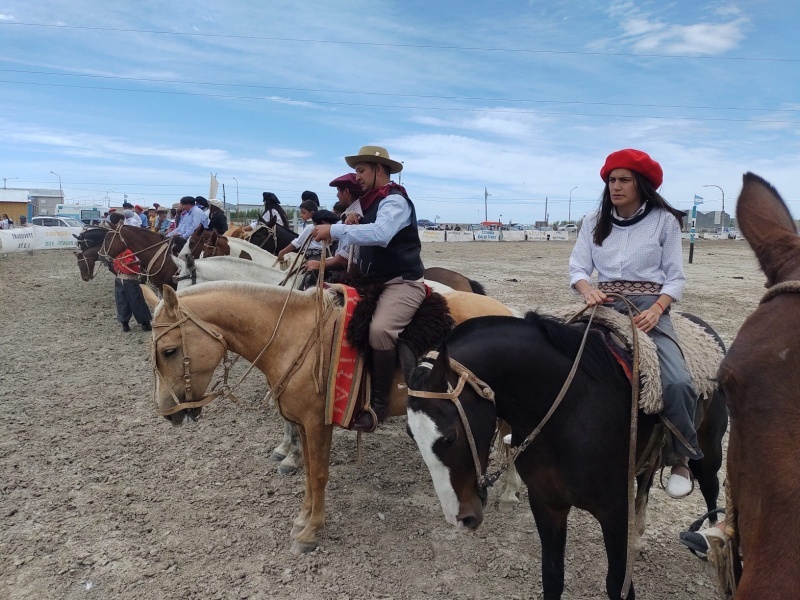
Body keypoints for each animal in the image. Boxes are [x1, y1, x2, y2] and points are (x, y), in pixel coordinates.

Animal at [148, 284, 512, 556]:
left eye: (169, 351)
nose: (168, 413)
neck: (294, 338)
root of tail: (506, 312)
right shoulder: (303, 424)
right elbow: (309, 472)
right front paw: (302, 518)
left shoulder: (317, 424)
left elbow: (320, 475)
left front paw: (311, 532)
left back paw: (509, 494)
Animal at [400, 314, 724, 600]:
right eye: (411, 433)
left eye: (450, 436)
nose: (460, 518)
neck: (570, 411)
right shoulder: (547, 503)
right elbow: (553, 576)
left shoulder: (614, 510)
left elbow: (617, 584)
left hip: (708, 449)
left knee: (710, 487)